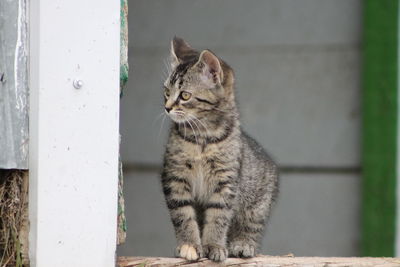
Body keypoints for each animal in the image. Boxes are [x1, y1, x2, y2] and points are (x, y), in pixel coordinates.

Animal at [159, 36, 278, 262]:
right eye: (166, 92)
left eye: (185, 95)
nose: (167, 107)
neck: (202, 138)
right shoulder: (175, 177)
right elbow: (183, 214)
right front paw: (189, 245)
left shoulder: (226, 181)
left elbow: (218, 215)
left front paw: (214, 245)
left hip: (259, 202)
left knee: (251, 225)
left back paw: (242, 244)